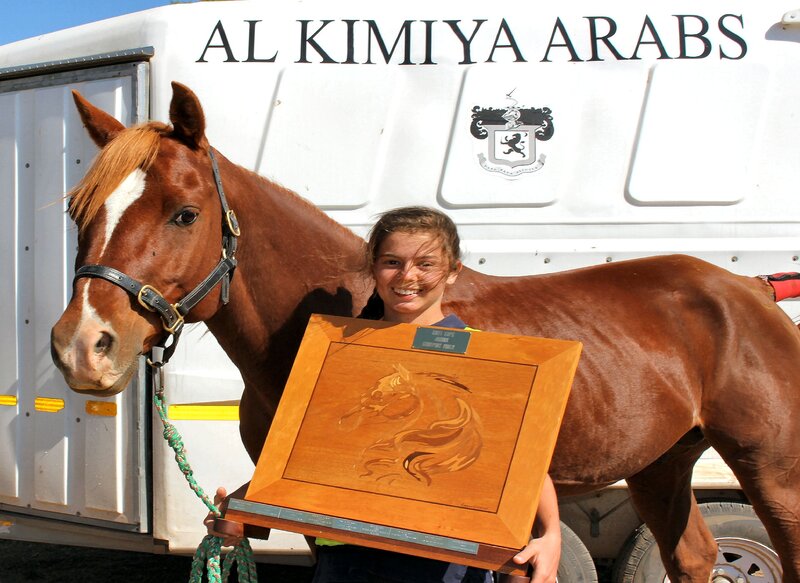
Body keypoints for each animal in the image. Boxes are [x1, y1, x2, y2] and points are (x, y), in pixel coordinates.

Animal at [50, 82, 800, 583]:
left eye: (184, 212)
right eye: (78, 209)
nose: (83, 346)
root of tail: (750, 293)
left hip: (772, 471)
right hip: (662, 463)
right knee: (694, 557)